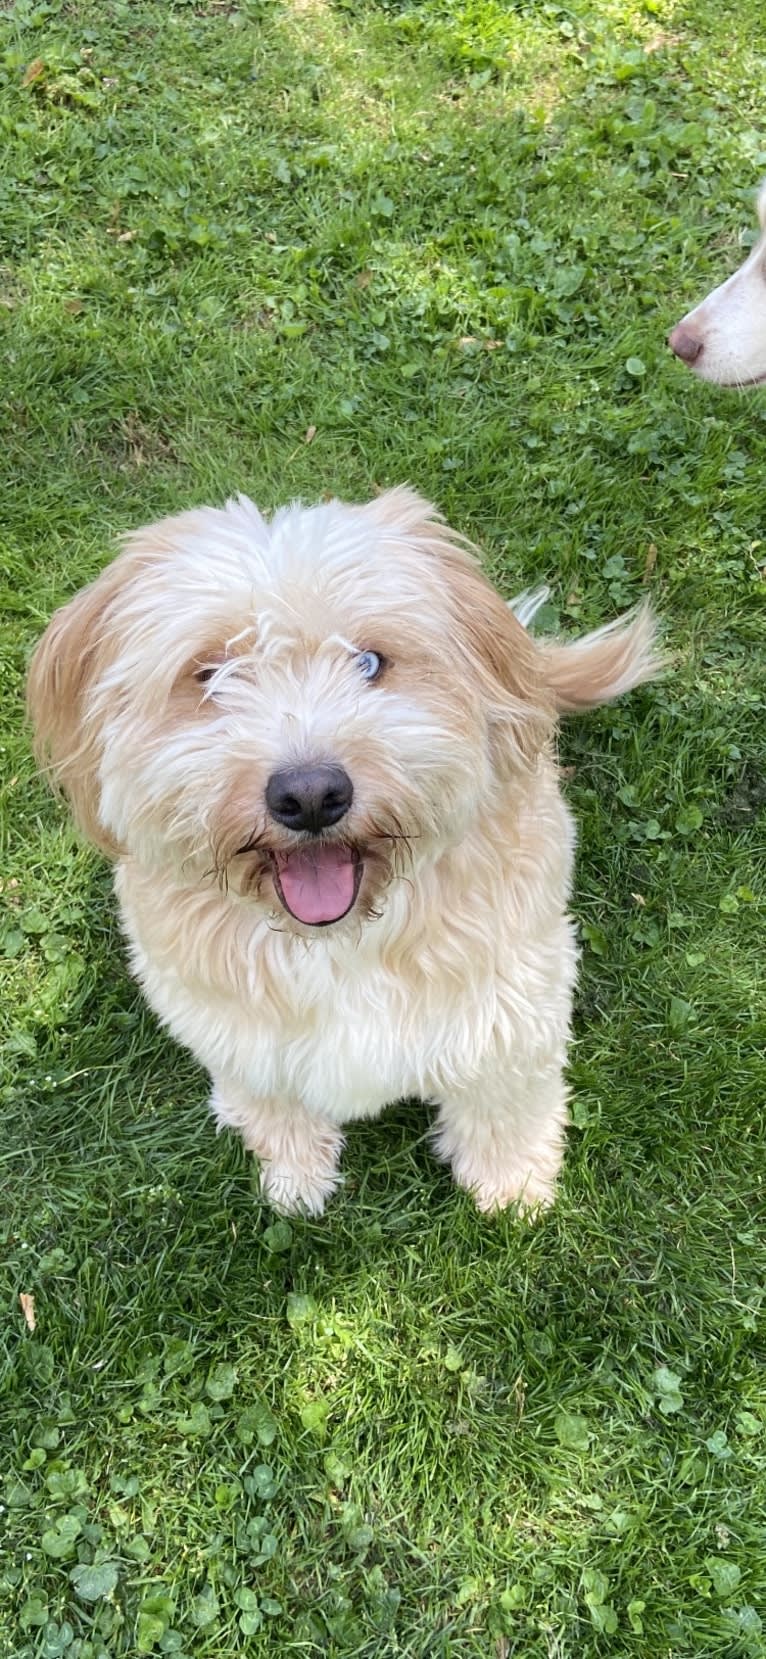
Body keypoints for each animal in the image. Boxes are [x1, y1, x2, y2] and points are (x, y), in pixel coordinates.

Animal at [26, 484, 656, 1214]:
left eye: (368, 662)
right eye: (210, 675)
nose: (309, 795)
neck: (337, 943)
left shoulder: (510, 1005)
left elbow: (504, 1102)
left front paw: (514, 1184)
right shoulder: (231, 1030)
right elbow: (271, 1101)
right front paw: (295, 1173)